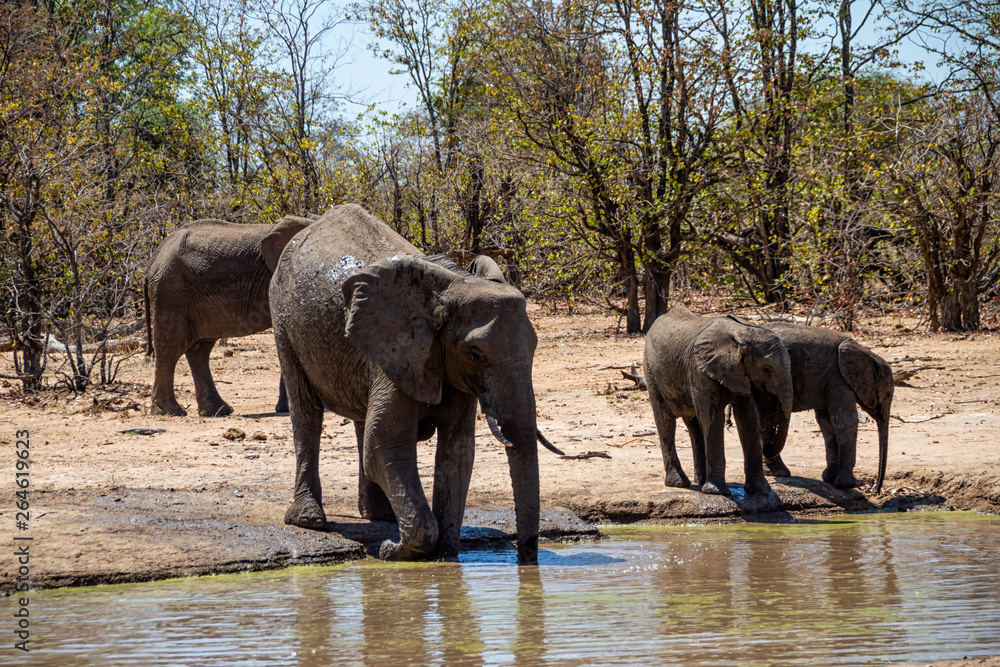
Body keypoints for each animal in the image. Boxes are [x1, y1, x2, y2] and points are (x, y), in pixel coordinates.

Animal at [144, 215, 313, 416]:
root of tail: (151, 262)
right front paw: (287, 409)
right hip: (170, 293)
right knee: (169, 348)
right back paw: (170, 412)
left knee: (199, 350)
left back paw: (218, 410)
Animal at [269, 203, 549, 563]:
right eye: (474, 353)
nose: (526, 560)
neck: (449, 291)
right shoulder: (400, 353)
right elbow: (384, 445)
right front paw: (394, 550)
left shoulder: (441, 363)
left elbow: (457, 452)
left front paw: (445, 557)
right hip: (284, 322)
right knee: (306, 414)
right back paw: (310, 520)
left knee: (361, 420)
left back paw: (381, 516)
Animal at [643, 306, 793, 497]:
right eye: (766, 369)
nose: (767, 447)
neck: (742, 333)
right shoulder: (700, 369)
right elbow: (713, 418)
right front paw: (717, 492)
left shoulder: (741, 374)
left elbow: (748, 419)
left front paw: (761, 490)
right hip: (651, 372)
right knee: (665, 420)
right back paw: (679, 483)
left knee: (694, 424)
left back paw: (700, 480)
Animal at [758, 322, 893, 494]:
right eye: (888, 395)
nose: (876, 490)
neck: (867, 354)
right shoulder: (838, 378)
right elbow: (845, 420)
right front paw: (848, 484)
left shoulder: (827, 380)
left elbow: (827, 422)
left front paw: (829, 479)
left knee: (765, 419)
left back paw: (777, 472)